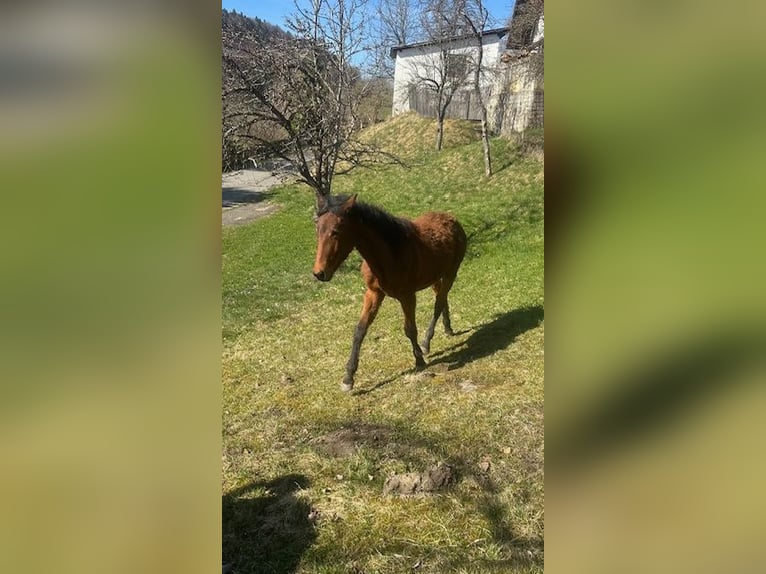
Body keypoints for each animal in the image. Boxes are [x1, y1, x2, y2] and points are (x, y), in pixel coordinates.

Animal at [312, 194, 467, 392]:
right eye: (318, 229)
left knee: (438, 304)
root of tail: (452, 219)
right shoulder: (373, 293)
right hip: (435, 277)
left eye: (336, 231)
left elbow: (410, 329)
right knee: (442, 297)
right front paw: (348, 378)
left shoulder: (407, 296)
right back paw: (447, 329)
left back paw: (426, 343)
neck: (390, 253)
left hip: (451, 273)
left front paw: (419, 360)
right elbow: (360, 330)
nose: (319, 273)